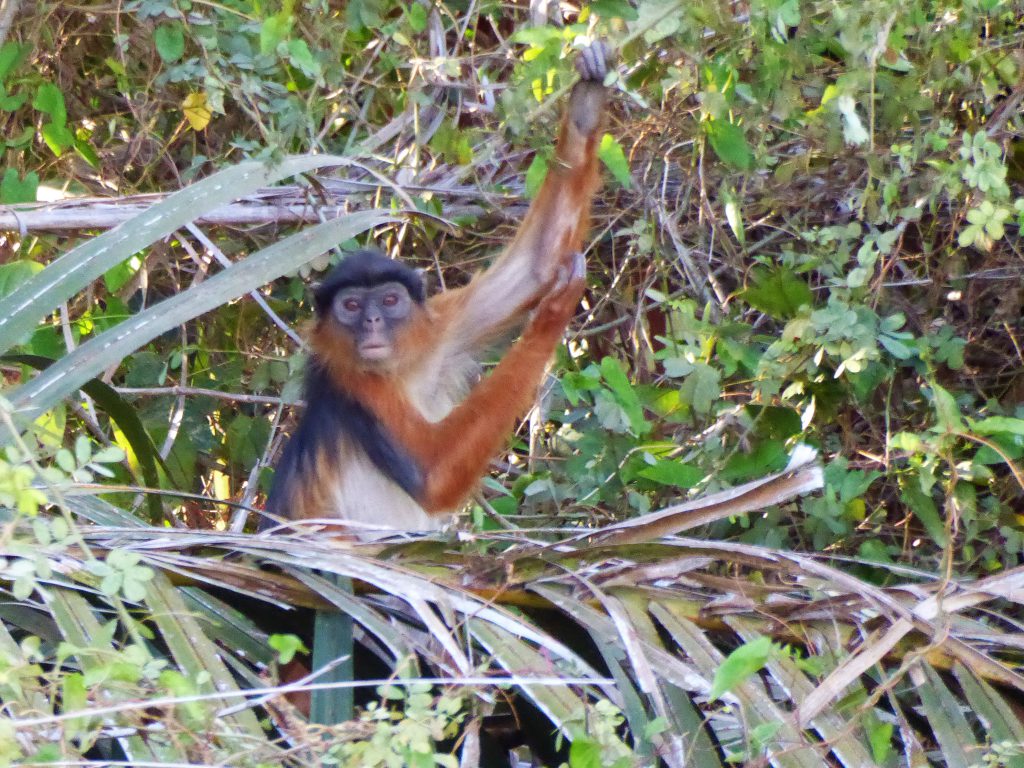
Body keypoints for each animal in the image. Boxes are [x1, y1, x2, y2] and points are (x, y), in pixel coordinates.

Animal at [268, 40, 610, 536]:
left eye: (390, 300)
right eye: (351, 306)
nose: (372, 322)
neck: (399, 372)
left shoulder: (437, 329)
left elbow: (536, 262)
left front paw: (587, 100)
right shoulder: (353, 378)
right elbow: (433, 475)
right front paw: (553, 312)